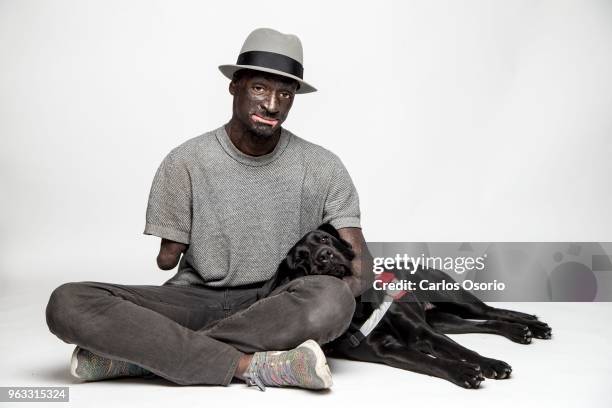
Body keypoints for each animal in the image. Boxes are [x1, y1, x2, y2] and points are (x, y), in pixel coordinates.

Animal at [274, 225, 552, 388]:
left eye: (324, 238)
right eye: (301, 261)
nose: (323, 256)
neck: (362, 307)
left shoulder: (424, 332)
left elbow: (464, 351)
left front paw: (491, 364)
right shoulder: (389, 349)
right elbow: (429, 361)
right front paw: (463, 372)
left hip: (451, 298)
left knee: (489, 312)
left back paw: (532, 324)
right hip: (444, 320)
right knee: (486, 323)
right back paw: (520, 330)